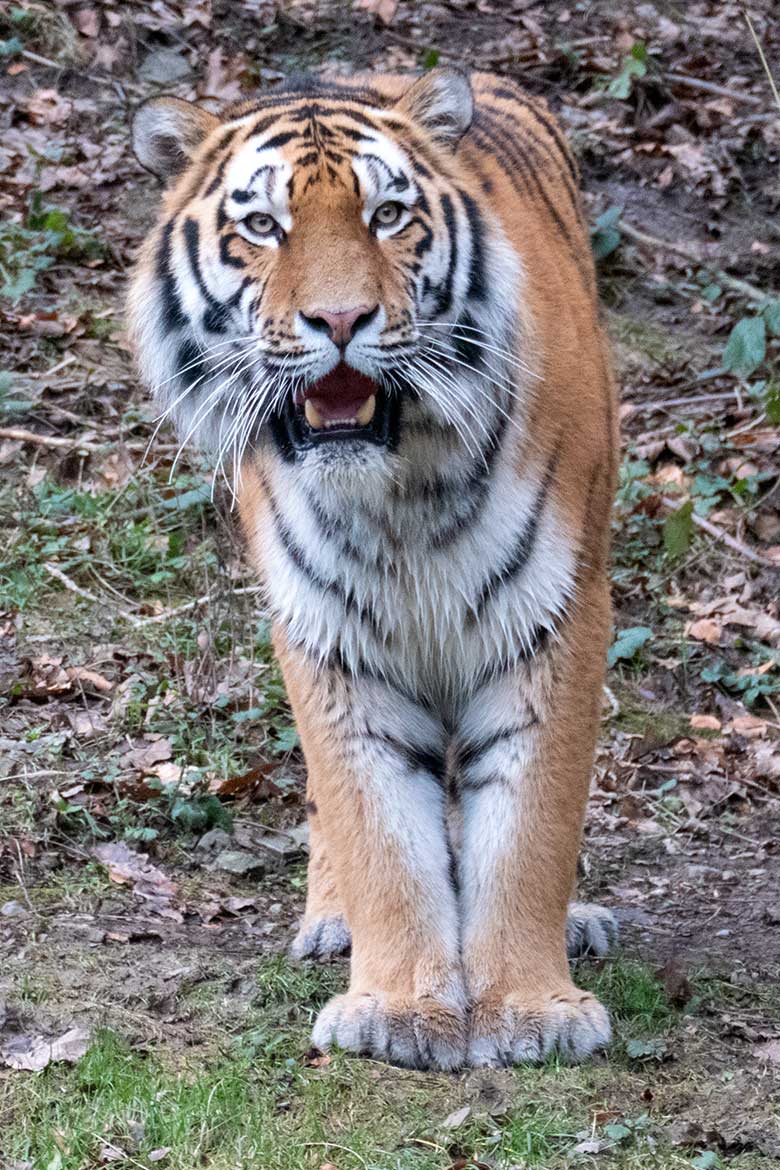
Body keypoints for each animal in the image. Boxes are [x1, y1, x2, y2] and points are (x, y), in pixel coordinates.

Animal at [129, 64, 622, 1071]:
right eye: (262, 226)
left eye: (388, 215)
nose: (342, 318)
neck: (400, 488)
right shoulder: (329, 629)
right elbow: (376, 826)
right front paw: (398, 1007)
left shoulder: (555, 615)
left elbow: (531, 821)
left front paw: (531, 1009)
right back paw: (332, 920)